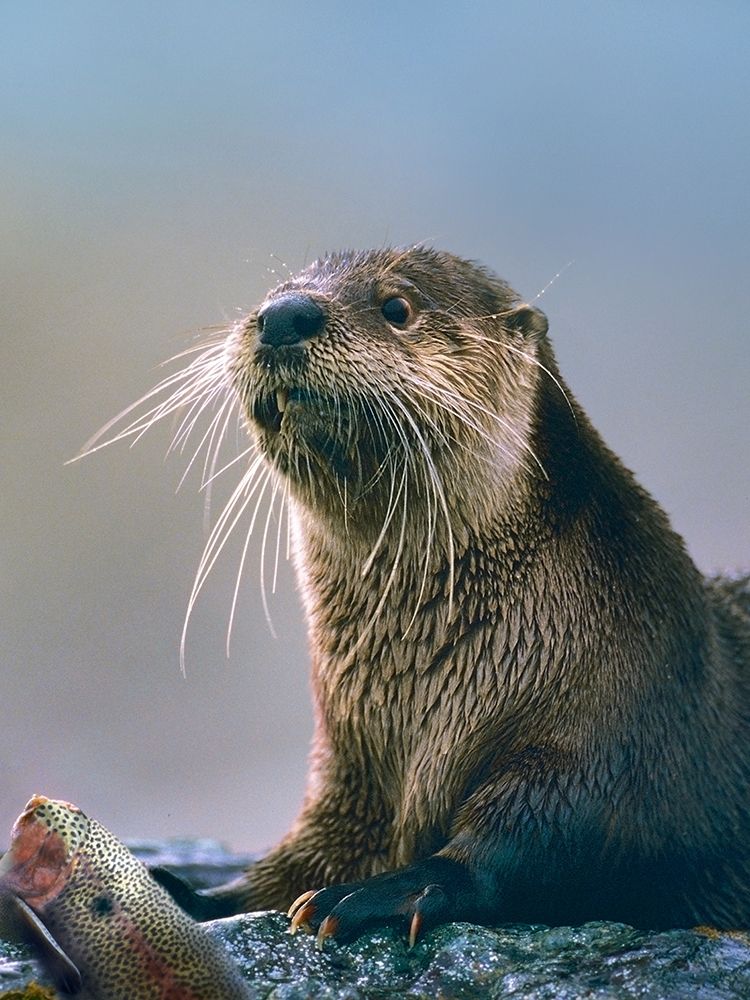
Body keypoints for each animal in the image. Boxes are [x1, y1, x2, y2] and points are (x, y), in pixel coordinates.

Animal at [153, 247, 750, 942]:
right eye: (278, 289)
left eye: (396, 306)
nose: (283, 314)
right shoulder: (350, 770)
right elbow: (295, 860)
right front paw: (188, 893)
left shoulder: (620, 735)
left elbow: (533, 844)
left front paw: (369, 894)